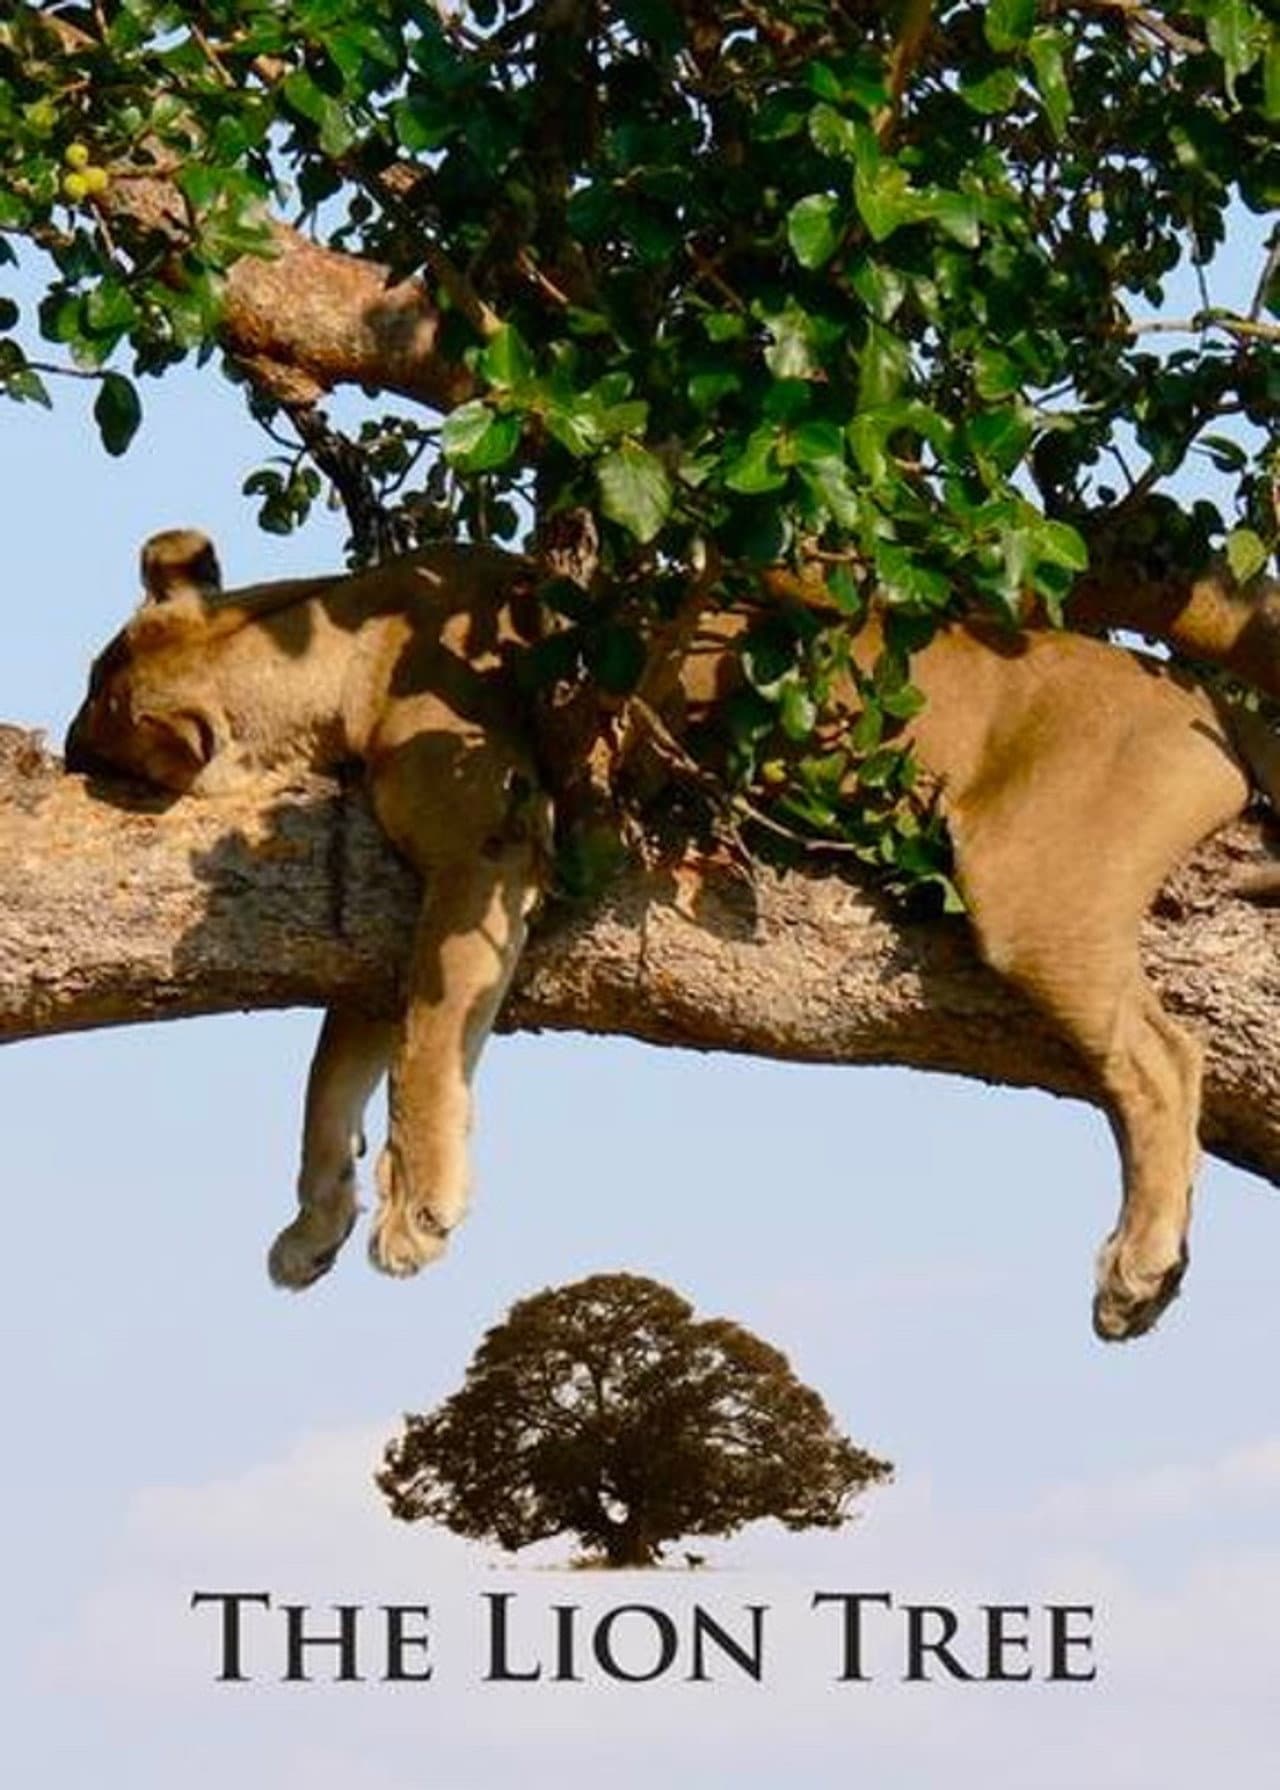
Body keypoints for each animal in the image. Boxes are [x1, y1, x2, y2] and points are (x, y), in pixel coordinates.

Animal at [64, 529, 1280, 1342]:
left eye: (93, 714)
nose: (66, 751)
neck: (336, 637)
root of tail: (1204, 702)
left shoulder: (489, 850)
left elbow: (422, 1045)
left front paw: (417, 1212)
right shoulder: (387, 913)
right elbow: (337, 1065)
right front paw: (314, 1223)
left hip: (1032, 882)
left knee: (1164, 1062)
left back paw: (1135, 1271)